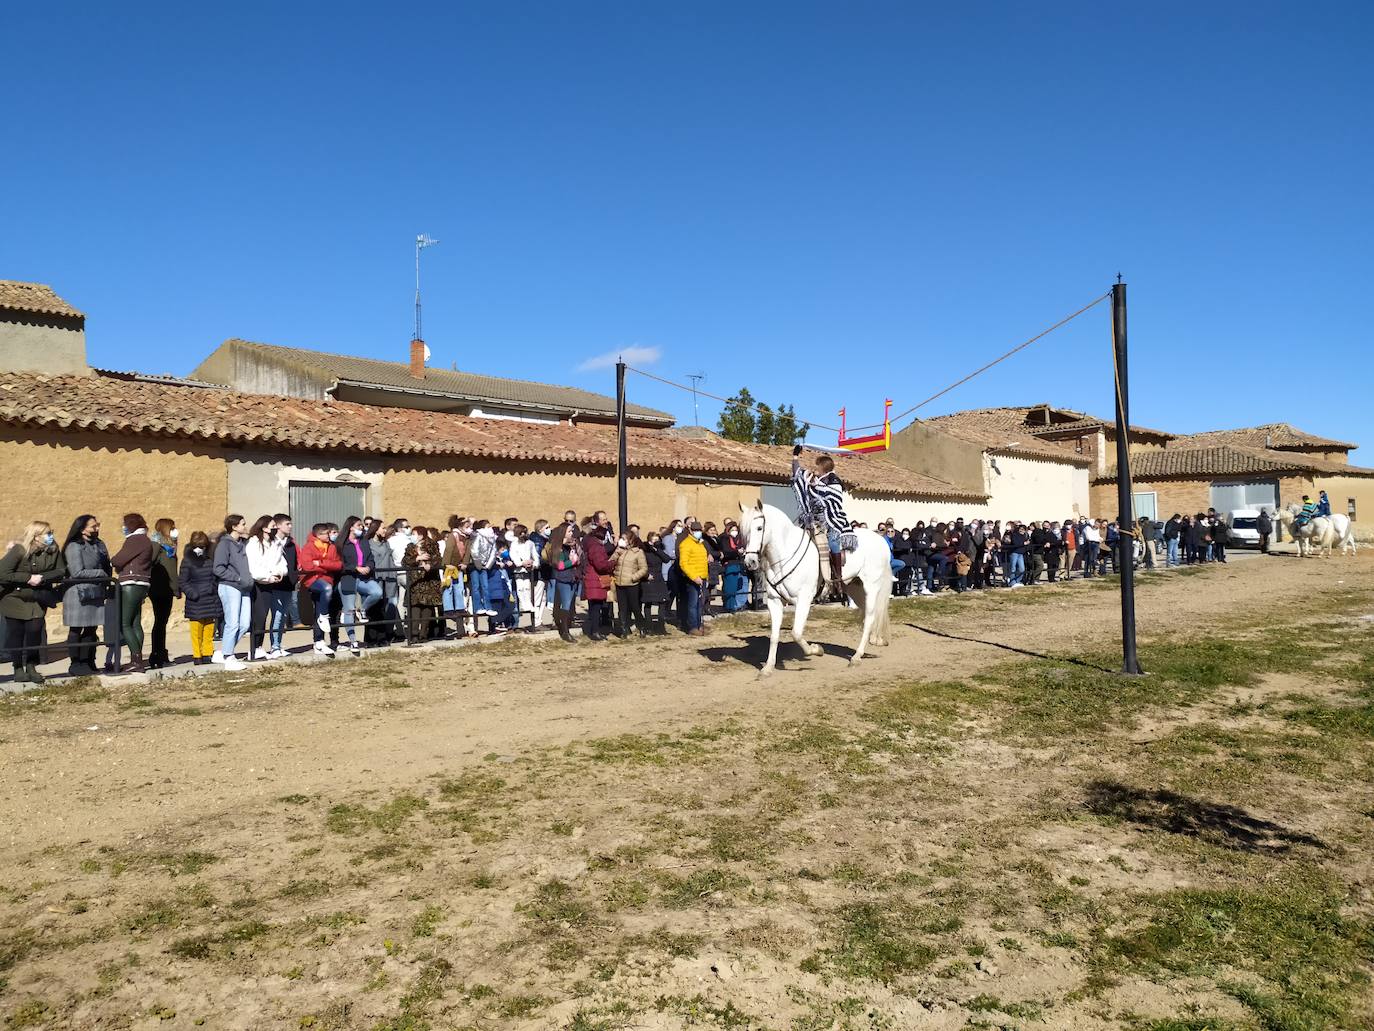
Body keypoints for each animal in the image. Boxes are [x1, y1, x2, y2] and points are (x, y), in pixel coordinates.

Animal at [736, 500, 895, 679]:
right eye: (743, 530)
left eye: (759, 528)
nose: (750, 562)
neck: (785, 555)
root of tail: (881, 540)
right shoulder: (774, 601)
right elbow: (774, 636)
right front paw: (768, 668)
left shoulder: (803, 599)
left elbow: (796, 633)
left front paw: (816, 650)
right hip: (855, 589)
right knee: (871, 614)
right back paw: (876, 639)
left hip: (871, 587)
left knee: (869, 617)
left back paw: (857, 657)